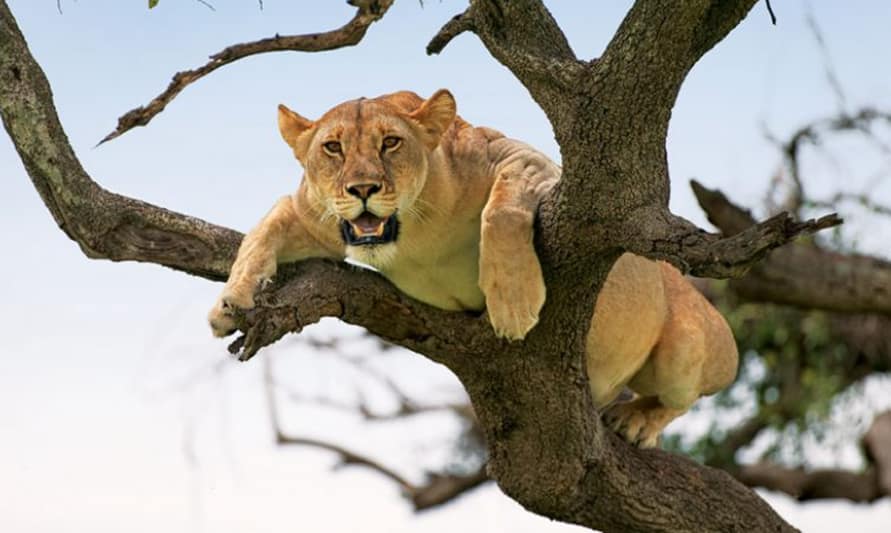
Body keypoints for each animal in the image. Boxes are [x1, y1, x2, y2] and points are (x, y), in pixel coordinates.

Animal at [208, 89, 739, 448]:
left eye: (391, 142)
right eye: (333, 148)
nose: (362, 189)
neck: (413, 232)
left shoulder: (528, 162)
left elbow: (500, 211)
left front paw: (514, 305)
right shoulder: (313, 216)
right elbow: (266, 226)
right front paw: (230, 304)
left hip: (686, 347)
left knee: (683, 397)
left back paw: (635, 421)